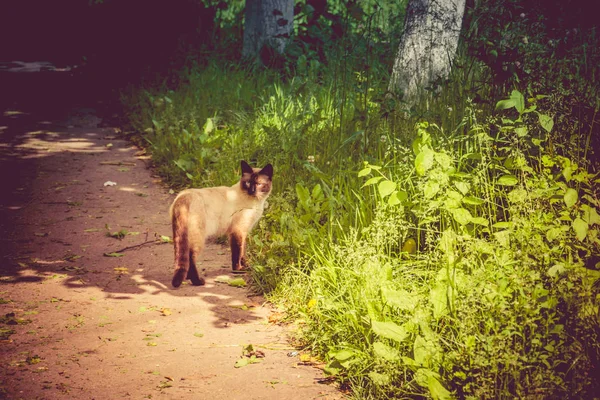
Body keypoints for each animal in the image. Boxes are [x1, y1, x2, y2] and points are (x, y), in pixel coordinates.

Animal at [169, 160, 272, 288]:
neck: (256, 203)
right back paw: (198, 281)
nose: (252, 191)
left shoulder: (244, 232)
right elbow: (237, 253)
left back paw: (187, 277)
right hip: (198, 237)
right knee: (190, 257)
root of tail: (183, 198)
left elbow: (243, 252)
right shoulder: (238, 231)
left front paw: (246, 266)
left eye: (258, 184)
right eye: (248, 183)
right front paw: (238, 270)